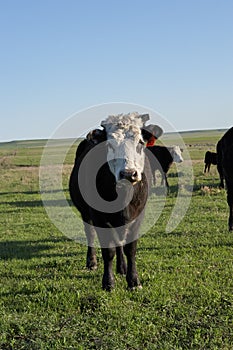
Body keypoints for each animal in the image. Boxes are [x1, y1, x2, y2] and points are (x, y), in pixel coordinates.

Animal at [69, 113, 163, 290]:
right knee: (91, 234)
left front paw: (133, 280)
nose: (128, 173)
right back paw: (92, 262)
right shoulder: (99, 217)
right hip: (86, 214)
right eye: (109, 145)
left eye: (140, 143)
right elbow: (108, 250)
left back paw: (122, 267)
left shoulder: (138, 216)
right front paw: (108, 282)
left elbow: (130, 248)